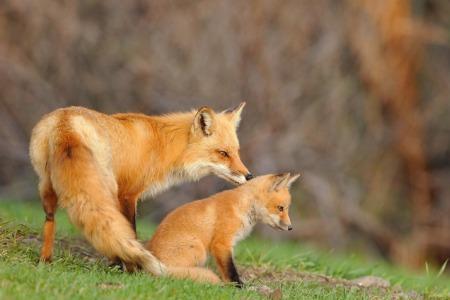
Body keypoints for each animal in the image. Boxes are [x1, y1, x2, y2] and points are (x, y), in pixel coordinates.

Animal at [29, 103, 251, 274]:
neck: (161, 146)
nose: (249, 176)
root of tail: (67, 122)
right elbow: (131, 230)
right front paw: (130, 268)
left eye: (236, 152)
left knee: (50, 219)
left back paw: (45, 261)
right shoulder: (128, 193)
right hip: (105, 186)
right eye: (223, 153)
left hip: (47, 184)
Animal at [146, 172, 298, 284]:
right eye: (280, 208)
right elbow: (230, 271)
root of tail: (156, 265)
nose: (290, 228)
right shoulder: (221, 244)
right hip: (199, 251)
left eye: (286, 209)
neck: (242, 206)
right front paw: (238, 287)